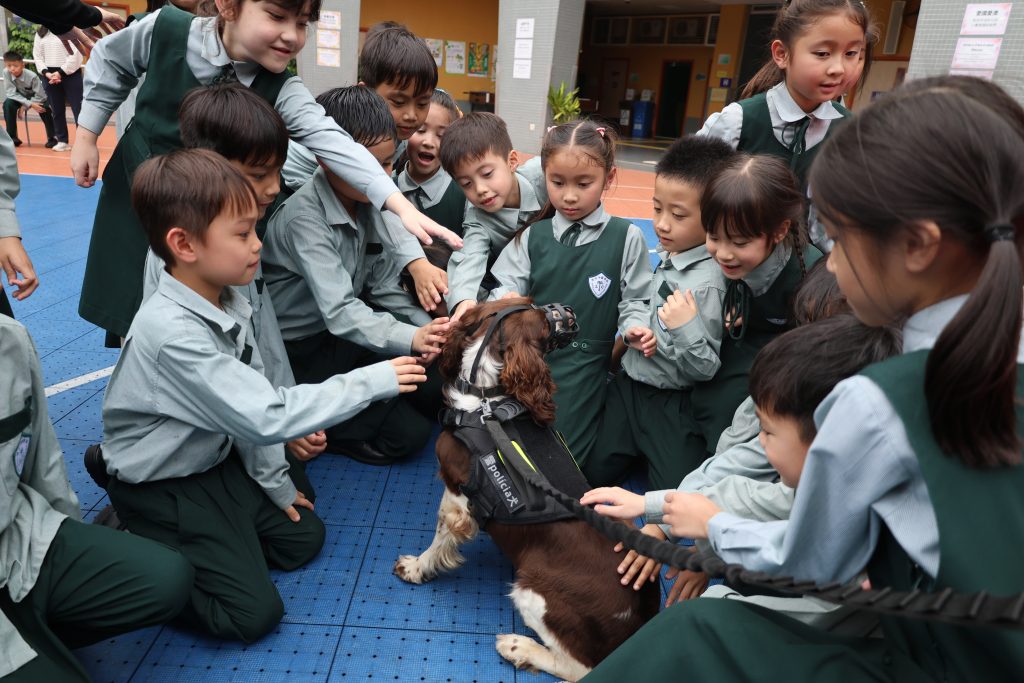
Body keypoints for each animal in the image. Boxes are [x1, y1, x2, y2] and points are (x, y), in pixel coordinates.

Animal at [393, 298, 659, 681]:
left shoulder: (457, 494)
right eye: (538, 311)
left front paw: (416, 567)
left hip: (533, 589)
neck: (486, 402)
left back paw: (519, 647)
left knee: (580, 668)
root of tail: (640, 619)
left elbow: (440, 536)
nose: (570, 312)